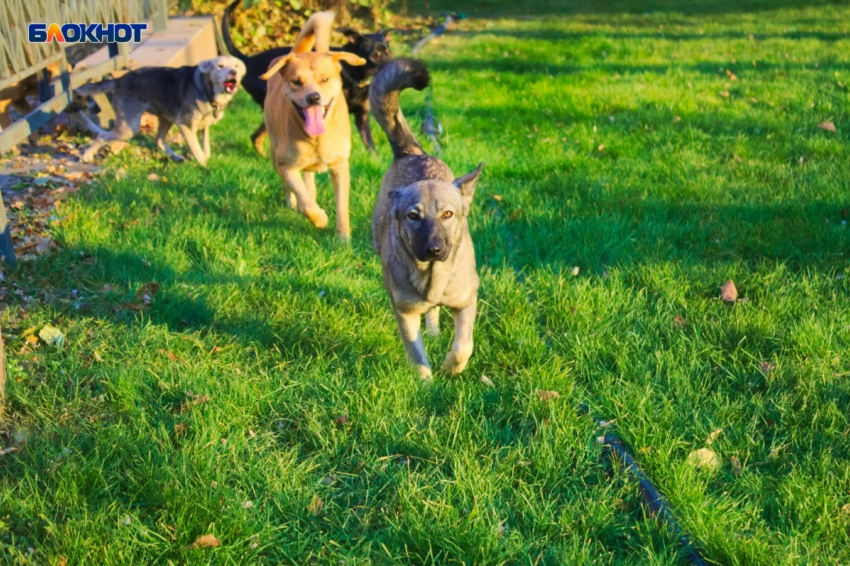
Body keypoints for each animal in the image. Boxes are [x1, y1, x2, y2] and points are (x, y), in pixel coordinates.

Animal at [73, 55, 247, 166]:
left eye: (236, 66)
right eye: (220, 66)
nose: (234, 72)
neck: (206, 89)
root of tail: (119, 80)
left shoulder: (203, 127)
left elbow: (206, 150)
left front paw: (207, 161)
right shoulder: (185, 125)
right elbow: (198, 150)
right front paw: (205, 168)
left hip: (166, 118)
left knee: (157, 139)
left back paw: (175, 157)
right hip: (129, 128)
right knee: (102, 135)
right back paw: (87, 156)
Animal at [220, 0, 390, 154]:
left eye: (388, 52)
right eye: (375, 55)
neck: (354, 77)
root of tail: (248, 60)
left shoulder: (362, 115)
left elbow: (370, 145)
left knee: (256, 136)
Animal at [258, 11, 364, 242]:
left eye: (325, 79)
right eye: (296, 81)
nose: (313, 97)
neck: (316, 138)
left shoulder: (340, 167)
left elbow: (342, 205)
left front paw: (343, 237)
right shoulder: (286, 165)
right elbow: (304, 200)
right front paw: (320, 219)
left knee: (309, 178)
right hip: (274, 150)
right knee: (292, 186)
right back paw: (293, 202)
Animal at [368, 58, 480, 382]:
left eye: (448, 214)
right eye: (413, 216)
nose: (433, 249)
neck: (432, 278)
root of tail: (411, 152)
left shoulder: (467, 300)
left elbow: (463, 346)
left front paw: (451, 366)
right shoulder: (404, 311)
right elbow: (416, 354)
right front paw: (426, 383)